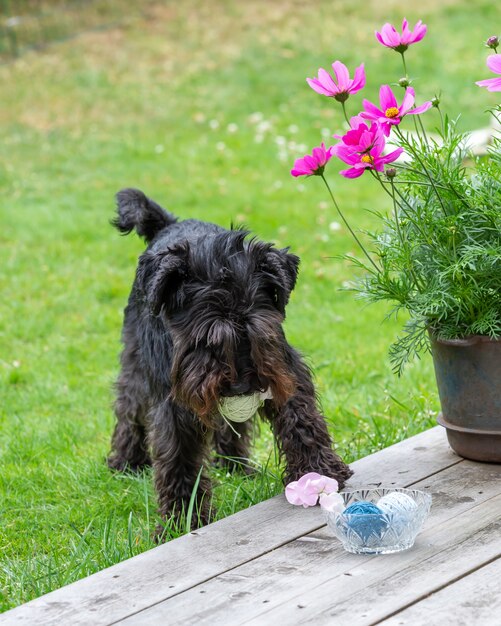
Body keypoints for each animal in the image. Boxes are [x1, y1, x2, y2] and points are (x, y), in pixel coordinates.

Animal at [107, 186, 352, 532]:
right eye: (203, 338)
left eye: (258, 330)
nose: (239, 386)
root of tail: (169, 224)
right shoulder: (174, 403)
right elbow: (178, 457)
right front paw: (183, 518)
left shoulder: (285, 372)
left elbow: (301, 419)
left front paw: (319, 471)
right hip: (136, 362)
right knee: (128, 406)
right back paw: (127, 461)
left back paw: (235, 464)